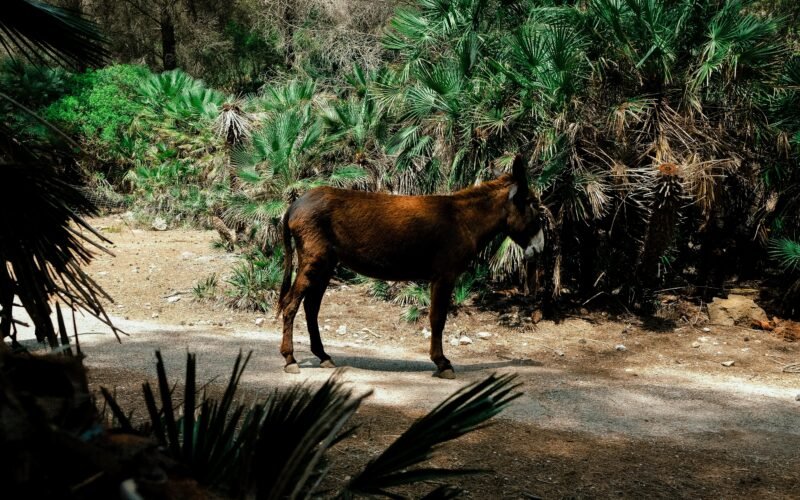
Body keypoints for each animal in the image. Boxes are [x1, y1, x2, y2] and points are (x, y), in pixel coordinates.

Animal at [277, 155, 544, 378]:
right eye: (534, 204)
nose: (541, 248)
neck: (464, 220)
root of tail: (294, 205)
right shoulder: (444, 275)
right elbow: (438, 318)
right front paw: (443, 363)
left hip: (326, 264)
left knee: (311, 307)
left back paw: (323, 356)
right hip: (313, 260)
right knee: (291, 304)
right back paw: (290, 360)